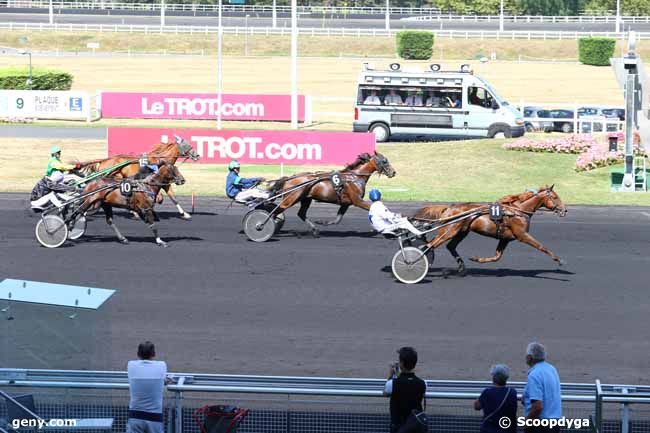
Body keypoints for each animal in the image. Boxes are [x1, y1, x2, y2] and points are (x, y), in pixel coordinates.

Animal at [412, 185, 564, 274]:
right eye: (555, 197)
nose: (565, 210)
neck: (518, 211)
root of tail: (448, 208)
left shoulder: (505, 238)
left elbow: (497, 257)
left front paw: (476, 259)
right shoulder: (522, 234)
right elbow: (541, 246)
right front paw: (558, 259)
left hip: (461, 232)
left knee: (449, 246)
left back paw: (461, 267)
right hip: (449, 230)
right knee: (428, 245)